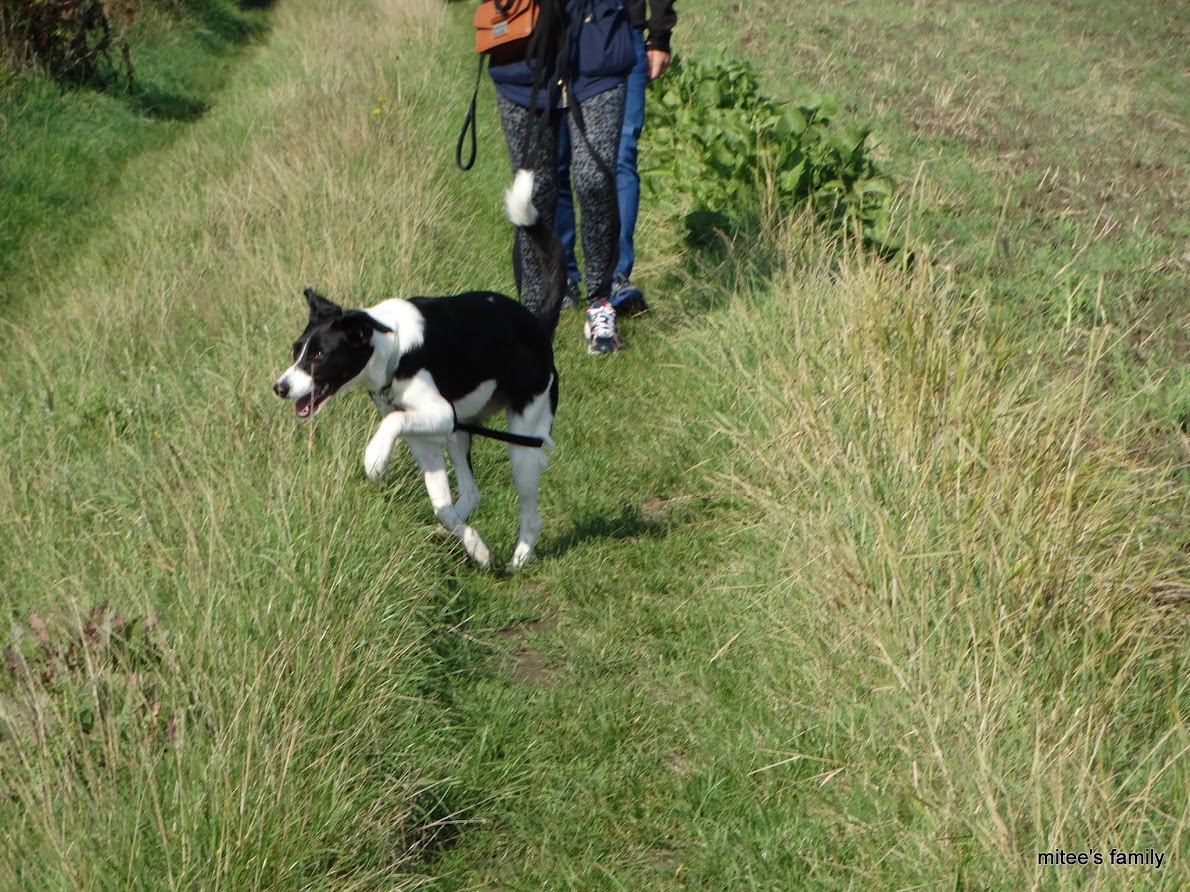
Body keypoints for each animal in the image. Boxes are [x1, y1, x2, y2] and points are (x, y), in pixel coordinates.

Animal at [273, 171, 561, 568]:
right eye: (297, 350)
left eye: (318, 355)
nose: (280, 387)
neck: (393, 348)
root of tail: (538, 326)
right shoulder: (425, 437)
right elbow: (440, 503)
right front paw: (476, 547)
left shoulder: (438, 413)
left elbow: (390, 423)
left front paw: (375, 459)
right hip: (459, 432)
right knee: (470, 493)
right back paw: (455, 538)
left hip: (522, 440)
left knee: (531, 514)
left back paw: (518, 559)